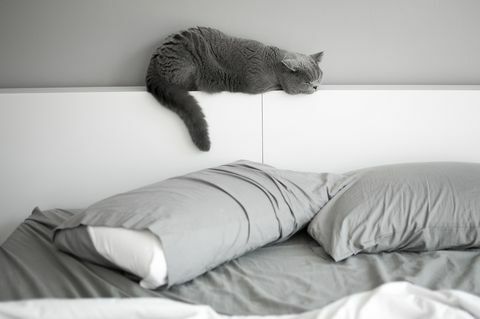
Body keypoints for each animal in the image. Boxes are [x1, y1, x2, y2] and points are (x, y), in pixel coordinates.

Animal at [145, 26, 322, 151]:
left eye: (319, 76)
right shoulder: (257, 83)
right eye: (307, 82)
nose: (315, 86)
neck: (273, 64)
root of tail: (153, 61)